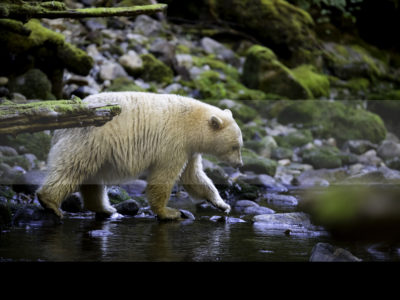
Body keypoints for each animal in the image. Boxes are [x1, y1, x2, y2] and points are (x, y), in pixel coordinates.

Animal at [37, 91, 244, 220]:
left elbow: (194, 176)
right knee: (72, 168)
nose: (240, 164)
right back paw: (50, 202)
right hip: (88, 140)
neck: (191, 122)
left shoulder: (190, 150)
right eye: (235, 146)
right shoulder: (174, 143)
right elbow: (164, 176)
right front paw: (169, 212)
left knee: (91, 178)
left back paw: (105, 208)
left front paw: (222, 204)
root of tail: (60, 130)